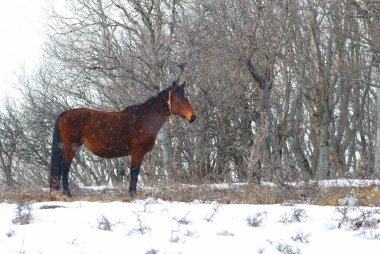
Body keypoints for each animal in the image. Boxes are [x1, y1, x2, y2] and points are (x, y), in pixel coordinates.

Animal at [49, 81, 196, 196]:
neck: (144, 119)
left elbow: (135, 173)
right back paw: (68, 194)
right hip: (71, 146)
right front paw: (132, 195)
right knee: (65, 168)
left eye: (187, 97)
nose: (193, 117)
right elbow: (134, 173)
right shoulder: (137, 152)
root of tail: (65, 113)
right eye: (179, 99)